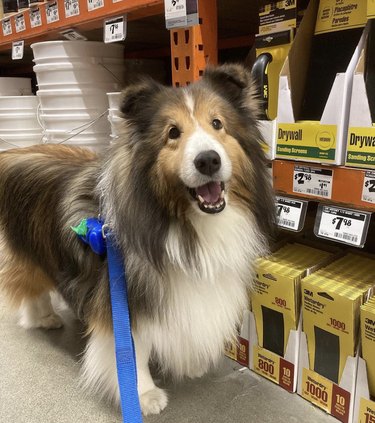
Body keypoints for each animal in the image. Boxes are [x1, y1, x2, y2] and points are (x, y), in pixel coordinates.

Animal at [0, 64, 276, 416]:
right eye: (173, 132)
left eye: (217, 124)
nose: (208, 160)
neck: (185, 224)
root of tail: (14, 151)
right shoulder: (123, 296)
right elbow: (134, 350)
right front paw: (144, 394)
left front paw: (192, 363)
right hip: (26, 248)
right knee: (29, 285)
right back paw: (43, 317)